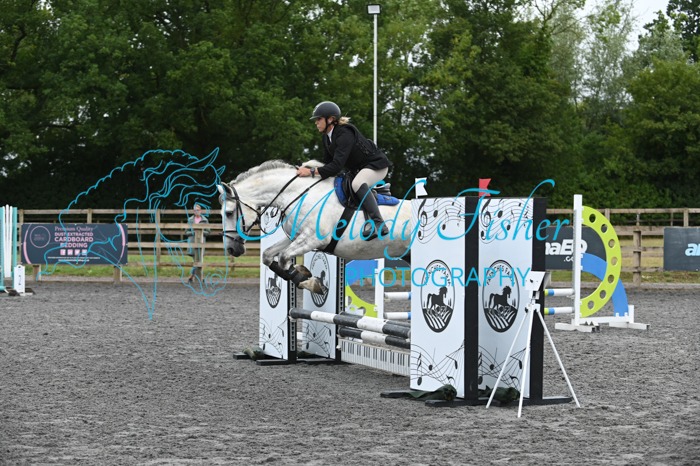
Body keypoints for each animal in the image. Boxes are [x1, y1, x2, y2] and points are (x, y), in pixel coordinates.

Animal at [218, 160, 416, 293]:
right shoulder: (297, 237)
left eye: (228, 213)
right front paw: (302, 274)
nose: (231, 249)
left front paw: (309, 282)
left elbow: (283, 257)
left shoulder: (314, 239)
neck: (298, 194)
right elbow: (268, 256)